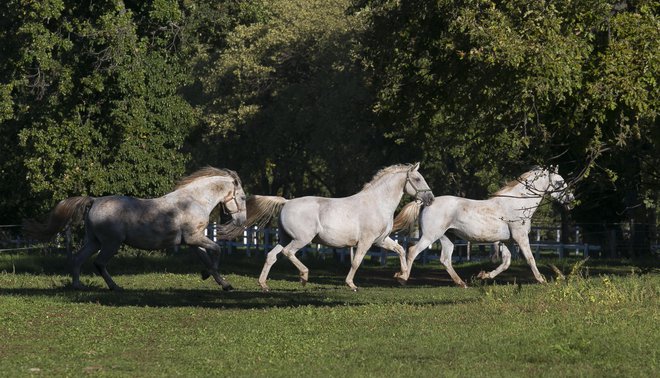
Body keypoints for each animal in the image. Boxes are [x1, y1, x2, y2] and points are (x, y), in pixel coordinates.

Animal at [22, 167, 248, 290]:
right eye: (244, 197)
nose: (241, 222)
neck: (194, 201)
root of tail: (94, 201)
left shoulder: (193, 241)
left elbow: (208, 258)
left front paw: (221, 282)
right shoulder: (194, 238)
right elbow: (216, 251)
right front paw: (209, 276)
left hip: (94, 241)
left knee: (78, 259)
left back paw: (78, 286)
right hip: (111, 243)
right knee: (99, 263)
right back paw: (115, 287)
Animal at [242, 163, 434, 292]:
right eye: (417, 179)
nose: (431, 199)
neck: (377, 203)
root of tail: (286, 202)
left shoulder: (380, 240)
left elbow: (400, 249)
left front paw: (402, 277)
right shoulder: (366, 241)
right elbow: (356, 262)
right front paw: (351, 285)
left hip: (285, 238)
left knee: (271, 256)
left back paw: (264, 284)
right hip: (301, 239)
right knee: (288, 252)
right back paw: (304, 276)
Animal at [392, 165, 572, 286]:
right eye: (558, 183)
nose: (570, 199)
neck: (518, 205)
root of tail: (427, 202)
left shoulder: (507, 241)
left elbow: (506, 263)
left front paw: (484, 275)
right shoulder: (520, 237)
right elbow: (530, 258)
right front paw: (541, 279)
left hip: (447, 238)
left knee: (445, 259)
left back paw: (462, 283)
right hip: (431, 236)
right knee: (412, 251)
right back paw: (402, 277)